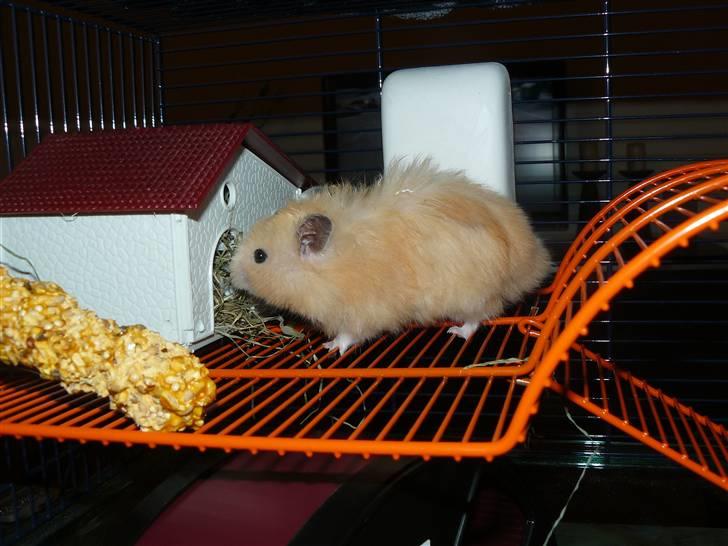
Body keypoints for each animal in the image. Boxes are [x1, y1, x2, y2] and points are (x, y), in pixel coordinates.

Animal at [230, 158, 551, 355]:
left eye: (260, 256)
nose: (231, 276)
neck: (332, 265)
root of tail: (536, 261)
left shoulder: (360, 313)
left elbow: (349, 335)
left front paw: (330, 347)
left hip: (472, 293)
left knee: (480, 317)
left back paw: (456, 332)